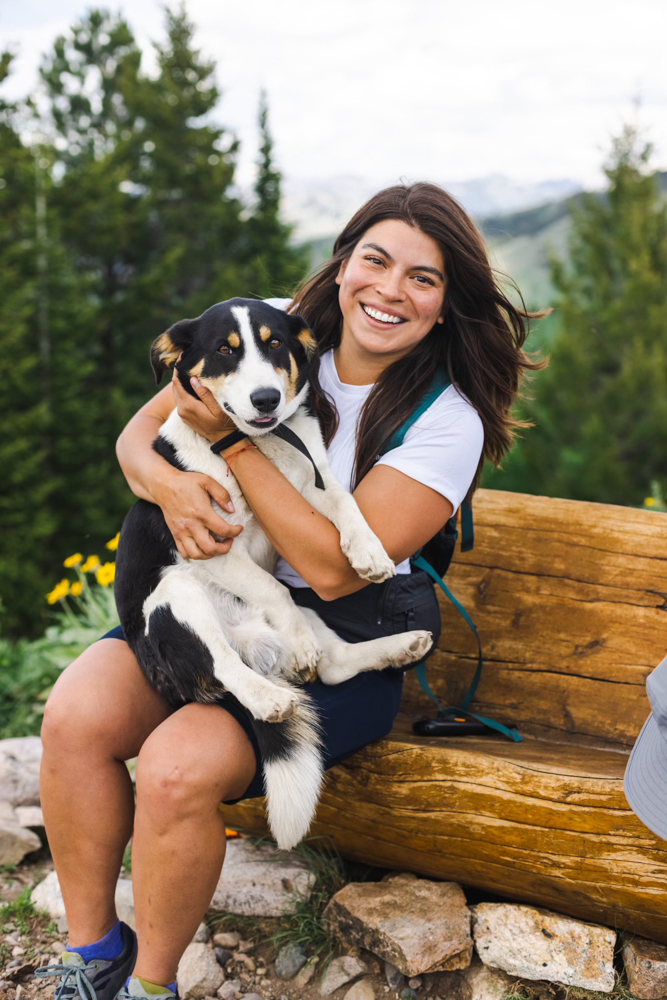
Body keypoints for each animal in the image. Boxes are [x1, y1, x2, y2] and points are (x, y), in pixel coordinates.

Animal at [115, 300, 434, 848]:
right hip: (177, 594)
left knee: (334, 664)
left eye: (275, 343)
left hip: (304, 608)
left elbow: (345, 500)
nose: (265, 398)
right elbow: (266, 586)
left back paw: (400, 646)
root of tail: (257, 650)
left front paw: (369, 551)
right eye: (224, 350)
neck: (260, 444)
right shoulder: (209, 539)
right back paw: (270, 697)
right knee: (226, 661)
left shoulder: (309, 491)